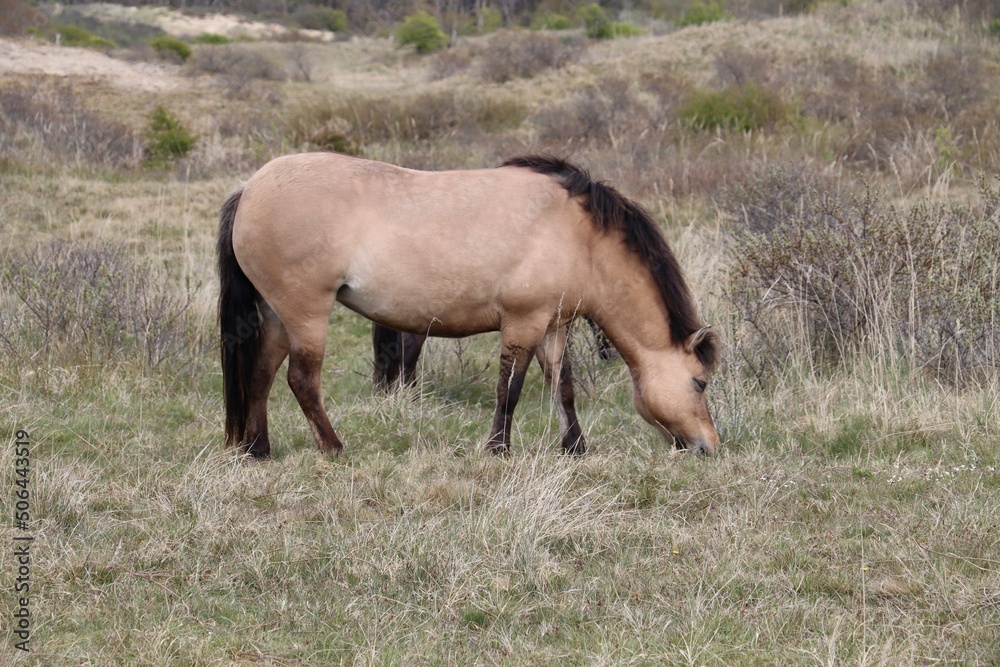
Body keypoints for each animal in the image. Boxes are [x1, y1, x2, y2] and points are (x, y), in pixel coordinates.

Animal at [217, 153, 720, 459]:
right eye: (699, 383)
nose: (708, 447)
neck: (581, 237)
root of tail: (250, 188)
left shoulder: (552, 327)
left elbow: (562, 388)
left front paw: (575, 447)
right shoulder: (523, 323)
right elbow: (509, 390)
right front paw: (498, 448)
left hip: (276, 316)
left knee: (259, 375)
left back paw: (258, 450)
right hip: (306, 316)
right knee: (302, 381)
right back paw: (333, 446)